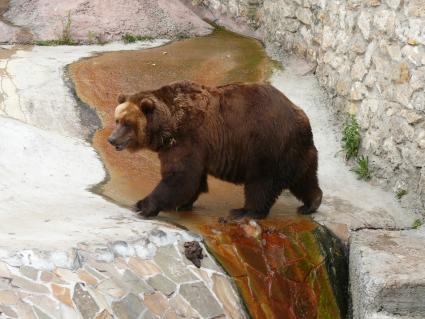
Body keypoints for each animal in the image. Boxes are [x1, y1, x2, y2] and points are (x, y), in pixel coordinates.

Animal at [107, 80, 322, 220]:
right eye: (117, 120)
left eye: (127, 123)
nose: (111, 139)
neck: (167, 127)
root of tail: (302, 117)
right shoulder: (194, 147)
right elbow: (193, 180)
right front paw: (183, 203)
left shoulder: (188, 138)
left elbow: (179, 177)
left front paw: (142, 205)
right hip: (296, 151)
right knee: (304, 178)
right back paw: (311, 203)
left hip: (266, 145)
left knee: (261, 183)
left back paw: (244, 211)